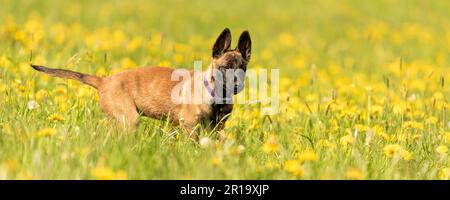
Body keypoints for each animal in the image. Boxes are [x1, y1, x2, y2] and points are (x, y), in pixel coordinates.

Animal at [30, 27, 251, 139]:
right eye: (225, 68)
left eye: (243, 68)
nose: (237, 85)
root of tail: (105, 80)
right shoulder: (190, 126)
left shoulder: (218, 128)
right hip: (130, 119)